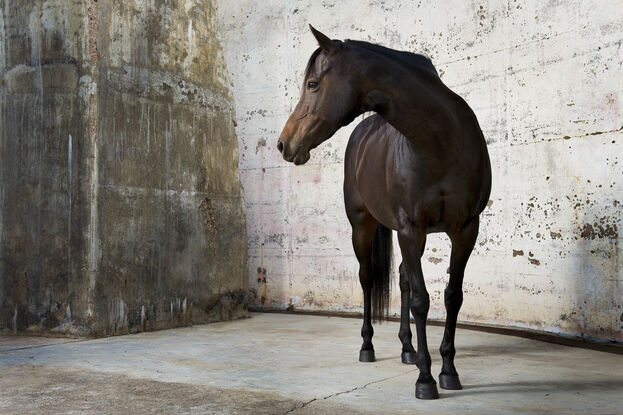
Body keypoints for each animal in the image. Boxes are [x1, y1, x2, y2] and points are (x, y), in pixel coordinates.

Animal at [280, 25, 492, 400]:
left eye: (313, 84)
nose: (283, 143)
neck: (441, 142)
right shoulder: (410, 229)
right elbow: (422, 300)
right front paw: (426, 379)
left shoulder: (465, 229)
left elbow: (452, 296)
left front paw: (448, 371)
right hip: (362, 226)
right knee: (367, 279)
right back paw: (368, 347)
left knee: (404, 279)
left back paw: (407, 349)